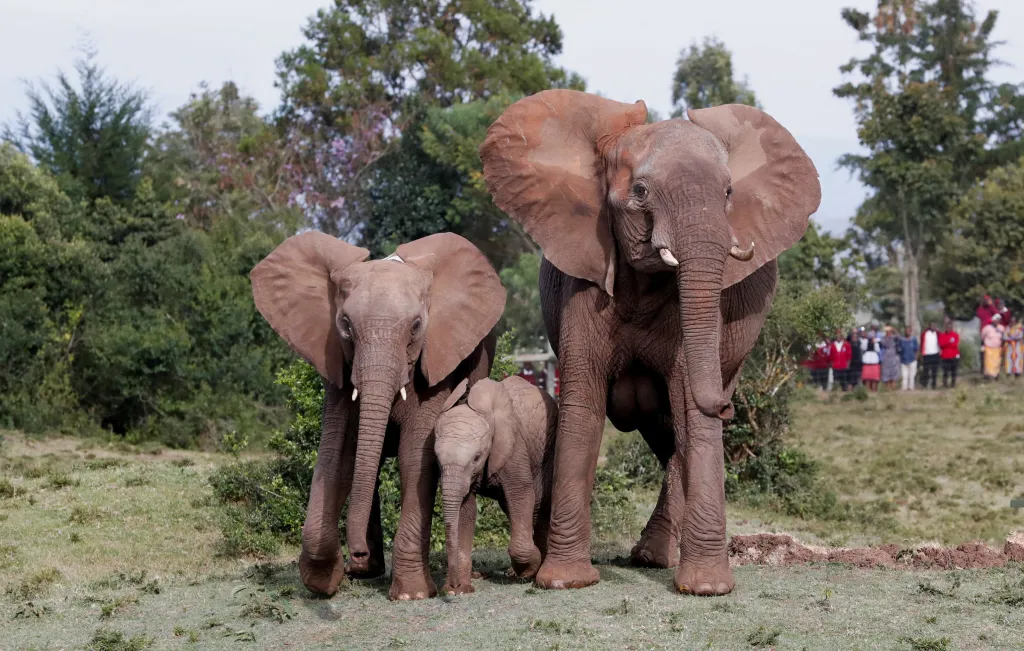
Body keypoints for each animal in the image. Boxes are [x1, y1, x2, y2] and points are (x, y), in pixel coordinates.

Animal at [248, 232, 503, 601]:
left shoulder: (437, 363)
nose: (356, 553)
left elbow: (415, 459)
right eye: (345, 326)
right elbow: (337, 457)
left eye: (416, 327)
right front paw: (323, 582)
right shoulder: (336, 366)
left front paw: (411, 594)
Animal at [432, 376, 561, 593]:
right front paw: (461, 590)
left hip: (549, 449)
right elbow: (466, 510)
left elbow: (521, 494)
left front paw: (529, 569)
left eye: (476, 458)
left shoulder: (513, 447)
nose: (452, 585)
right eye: (437, 460)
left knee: (538, 504)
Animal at [479, 90, 823, 593]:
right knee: (664, 434)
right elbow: (583, 404)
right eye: (640, 192)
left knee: (676, 431)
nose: (729, 406)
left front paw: (707, 589)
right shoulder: (585, 279)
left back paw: (654, 558)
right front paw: (564, 582)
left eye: (728, 193)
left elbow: (689, 407)